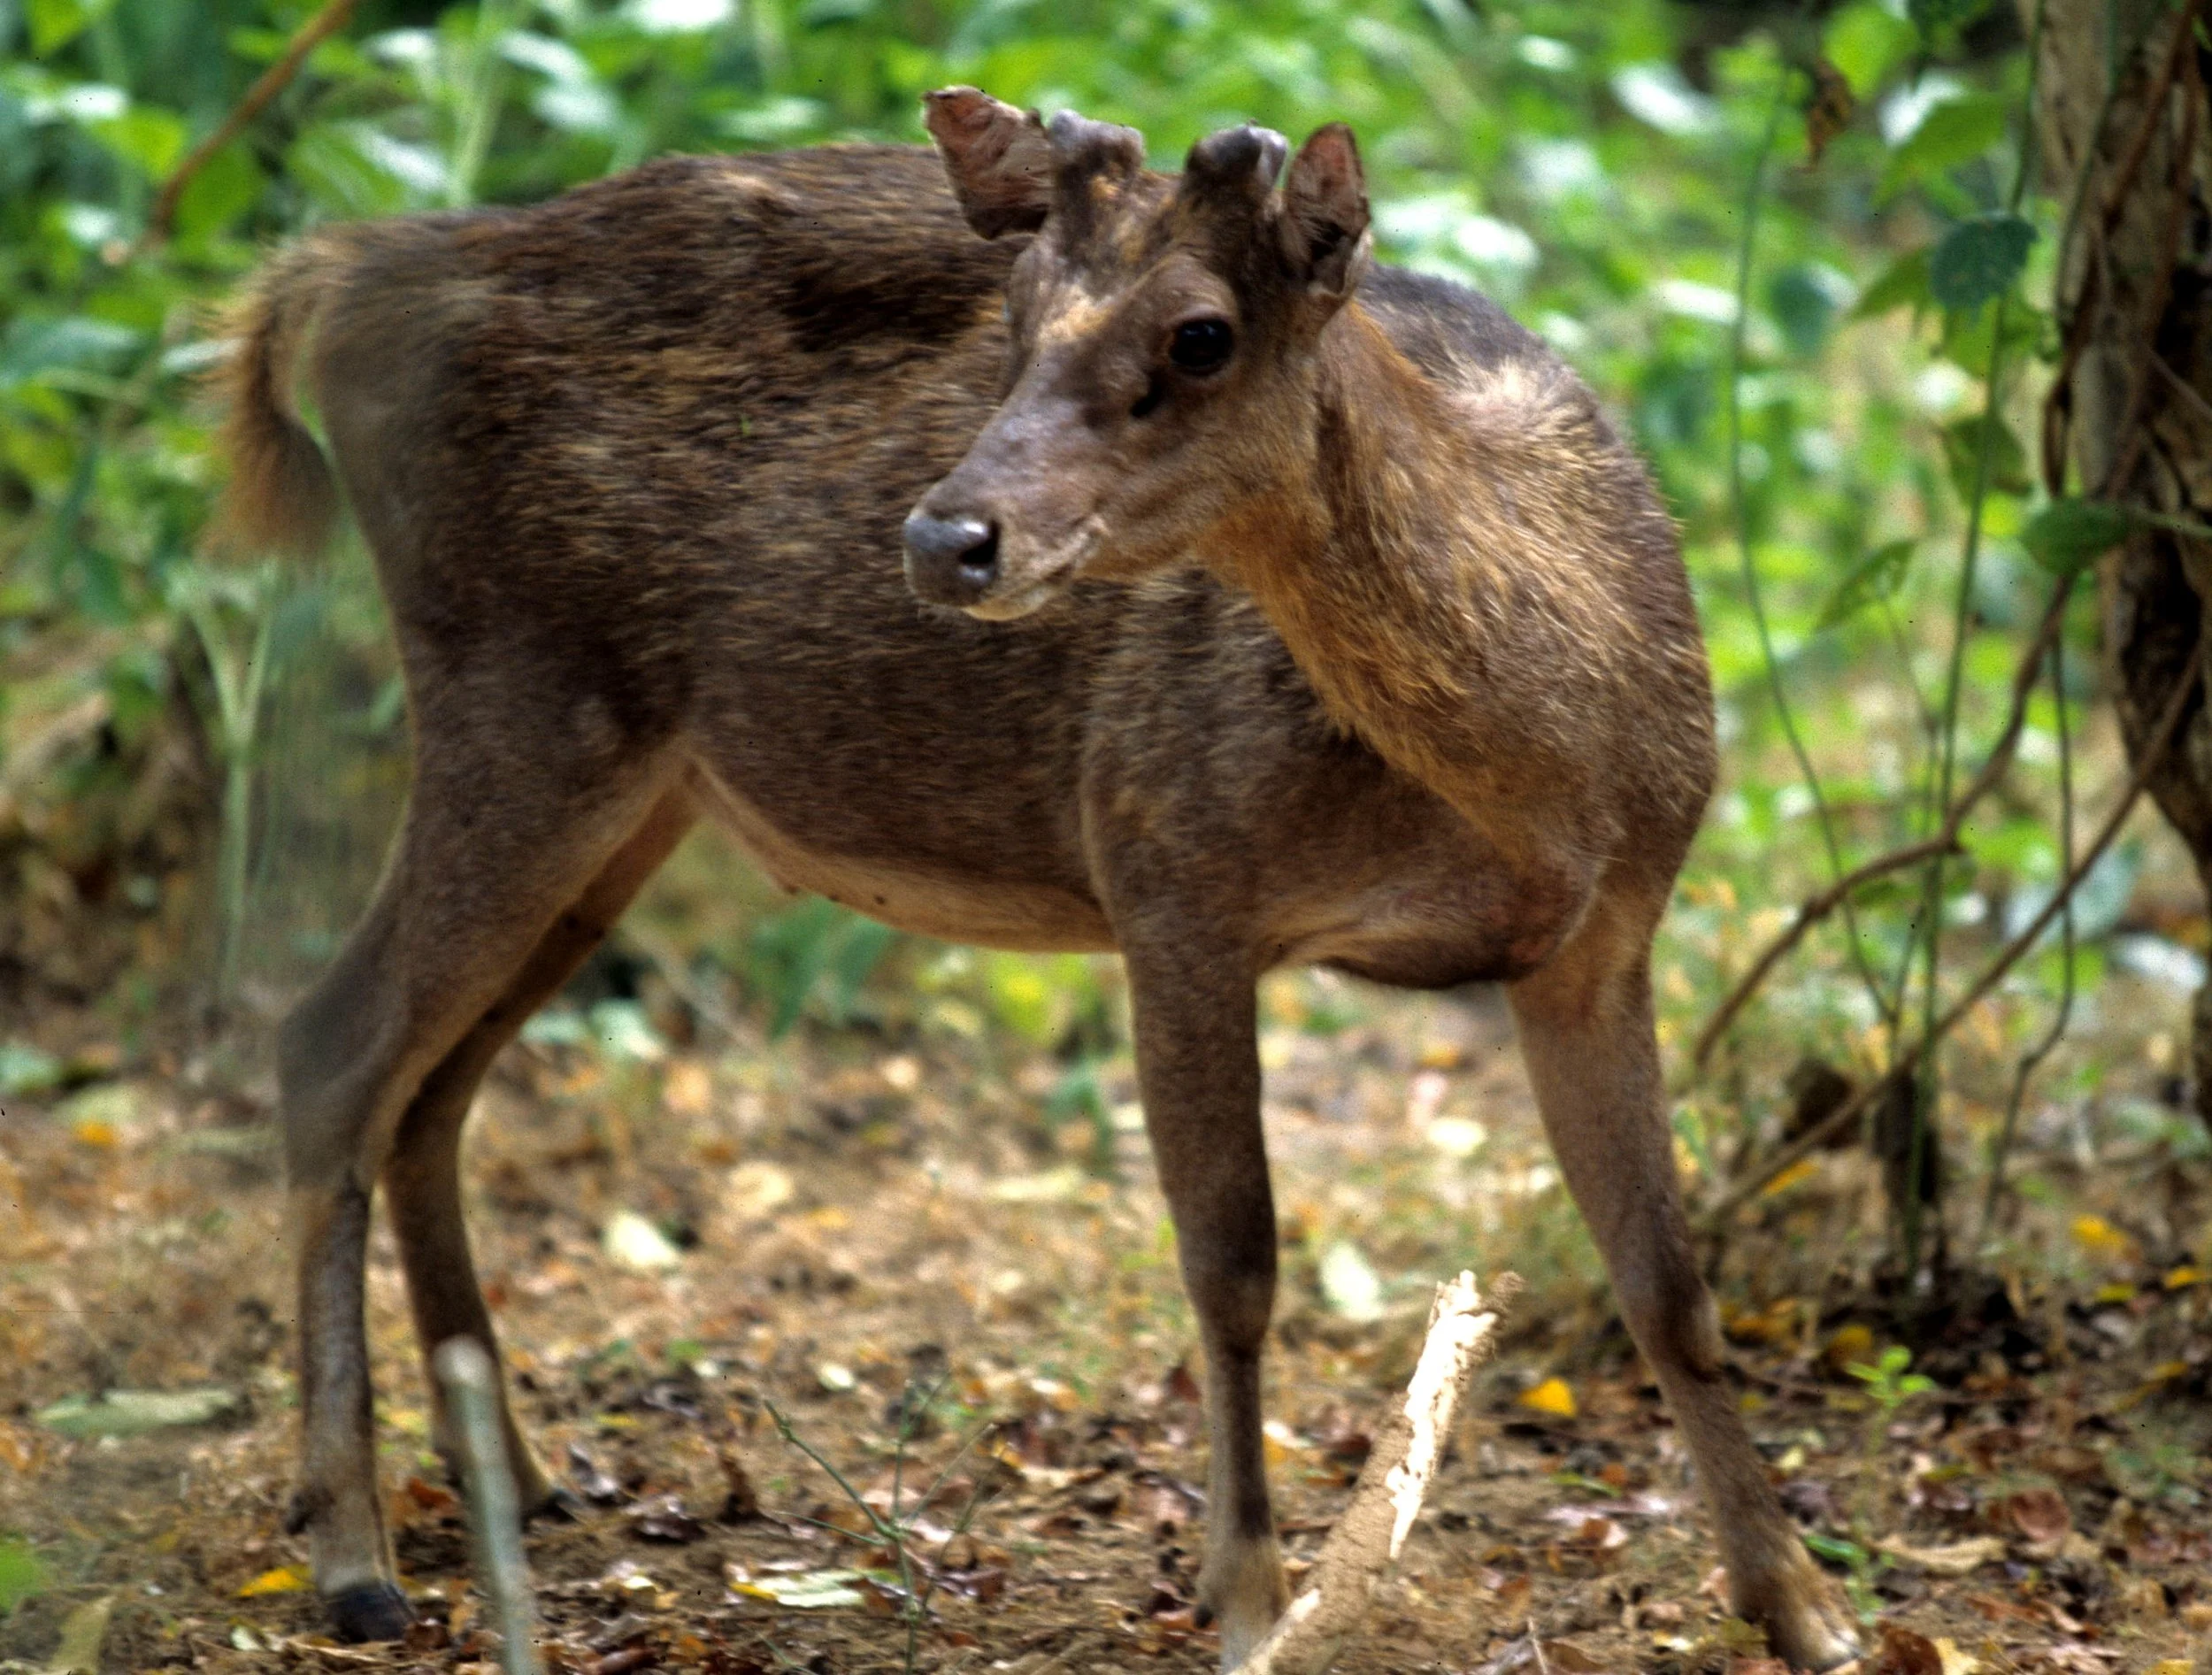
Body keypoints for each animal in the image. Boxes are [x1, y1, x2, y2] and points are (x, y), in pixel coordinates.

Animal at [210, 86, 1856, 1671]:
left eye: (1204, 331)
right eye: (1012, 313)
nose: (947, 534)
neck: (1535, 778)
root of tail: (341, 276)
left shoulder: (1608, 930)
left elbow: (1669, 1281)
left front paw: (1805, 1609)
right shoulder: (1167, 863)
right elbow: (1234, 1261)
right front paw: (1249, 1604)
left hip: (632, 788)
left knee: (432, 1089)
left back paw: (524, 1478)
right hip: (518, 692)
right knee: (330, 1046)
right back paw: (351, 1555)